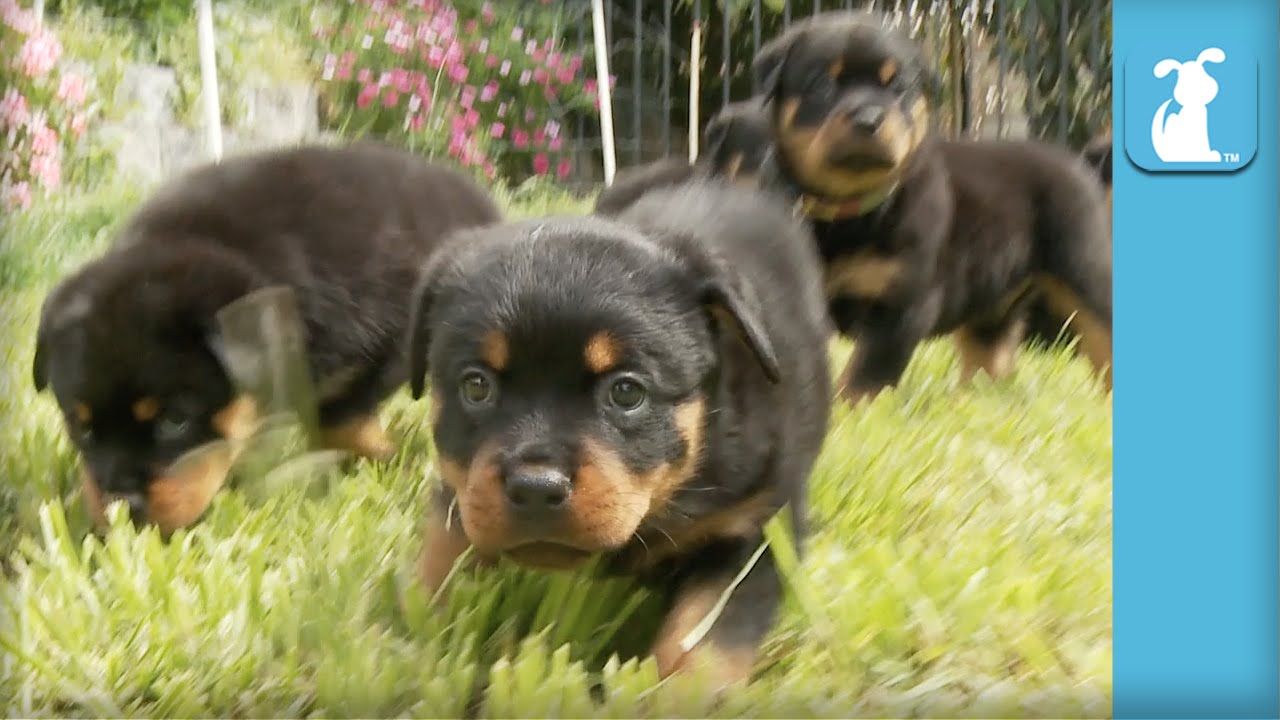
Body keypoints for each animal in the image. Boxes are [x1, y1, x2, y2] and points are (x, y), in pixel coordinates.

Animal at [30, 141, 499, 532]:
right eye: (81, 427)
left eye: (174, 420)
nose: (122, 506)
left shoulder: (388, 338)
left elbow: (342, 415)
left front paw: (377, 458)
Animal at [407, 179, 829, 681]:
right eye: (476, 386)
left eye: (627, 392)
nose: (535, 489)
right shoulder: (464, 490)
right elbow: (444, 552)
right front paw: (420, 638)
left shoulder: (758, 527)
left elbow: (703, 646)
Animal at [747, 11, 1111, 399]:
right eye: (821, 84)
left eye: (897, 87)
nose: (869, 118)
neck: (849, 209)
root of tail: (1076, 162)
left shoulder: (904, 303)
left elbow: (866, 373)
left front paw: (852, 406)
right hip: (992, 301)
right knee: (988, 354)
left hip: (1085, 268)